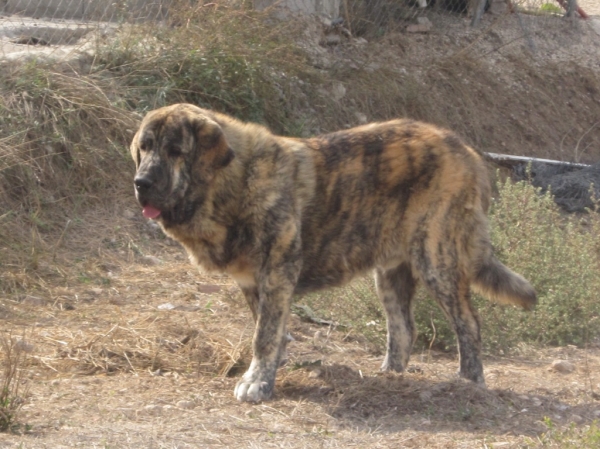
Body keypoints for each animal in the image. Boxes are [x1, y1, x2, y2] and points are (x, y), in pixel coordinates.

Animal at [130, 104, 536, 402]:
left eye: (175, 151)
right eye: (144, 148)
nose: (141, 183)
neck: (235, 182)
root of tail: (466, 150)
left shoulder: (277, 273)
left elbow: (264, 335)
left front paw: (257, 382)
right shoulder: (253, 284)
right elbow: (272, 331)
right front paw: (271, 371)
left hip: (437, 261)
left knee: (468, 323)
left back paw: (469, 382)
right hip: (390, 275)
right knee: (403, 329)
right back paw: (389, 378)